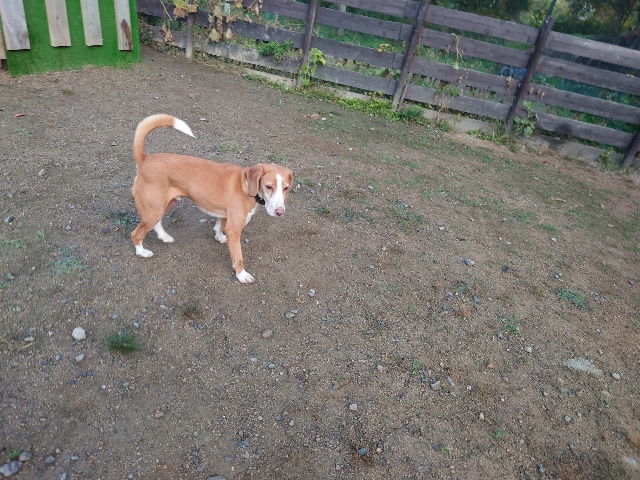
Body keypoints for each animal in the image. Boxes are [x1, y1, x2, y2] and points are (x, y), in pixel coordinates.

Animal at [130, 114, 293, 283]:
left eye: (286, 188)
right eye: (268, 186)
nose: (280, 212)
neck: (246, 185)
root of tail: (144, 159)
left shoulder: (225, 216)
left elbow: (219, 227)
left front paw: (219, 237)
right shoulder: (234, 229)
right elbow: (238, 256)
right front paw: (241, 274)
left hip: (163, 204)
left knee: (155, 223)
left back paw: (164, 237)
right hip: (154, 209)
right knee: (136, 233)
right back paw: (142, 252)